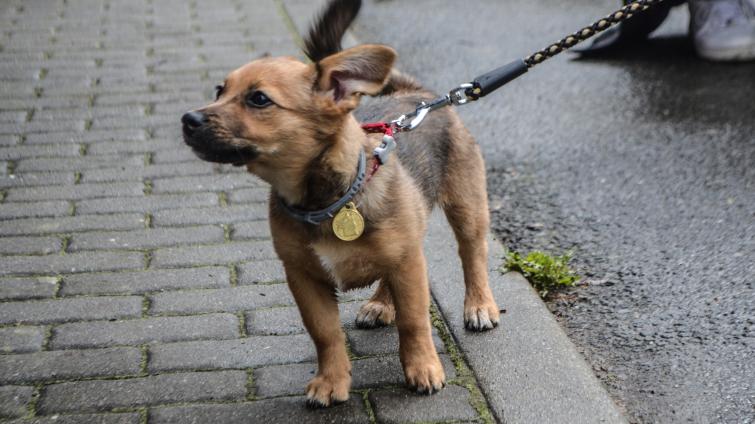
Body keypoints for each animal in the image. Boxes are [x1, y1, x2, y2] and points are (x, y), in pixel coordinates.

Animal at [183, 0, 502, 408]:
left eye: (259, 99)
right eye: (219, 90)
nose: (188, 119)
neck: (327, 201)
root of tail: (417, 96)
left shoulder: (408, 263)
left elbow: (414, 322)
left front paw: (423, 369)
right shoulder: (304, 278)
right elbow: (325, 333)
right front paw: (331, 381)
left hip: (466, 206)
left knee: (472, 254)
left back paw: (479, 305)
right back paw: (381, 304)